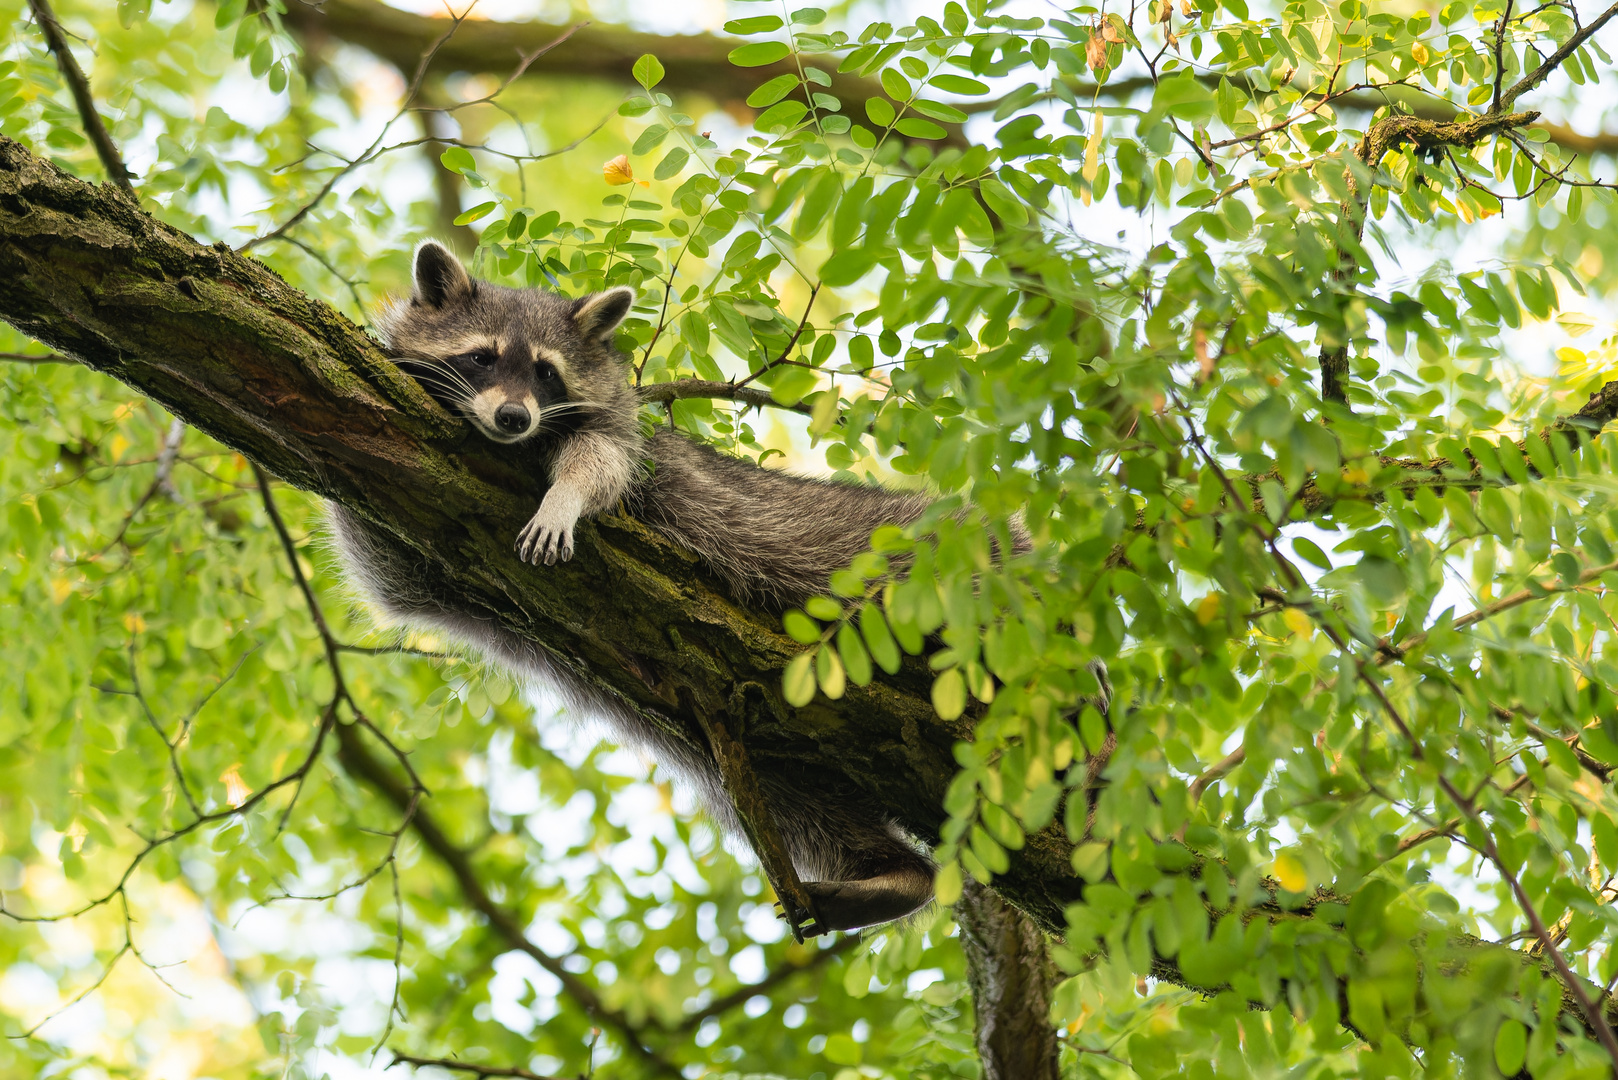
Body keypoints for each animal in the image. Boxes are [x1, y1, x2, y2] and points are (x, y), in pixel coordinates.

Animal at [331, 241, 938, 932]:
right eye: (481, 357)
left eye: (546, 373)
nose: (512, 416)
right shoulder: (419, 557)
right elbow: (388, 569)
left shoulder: (621, 436)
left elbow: (600, 462)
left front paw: (564, 498)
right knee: (805, 807)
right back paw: (896, 873)